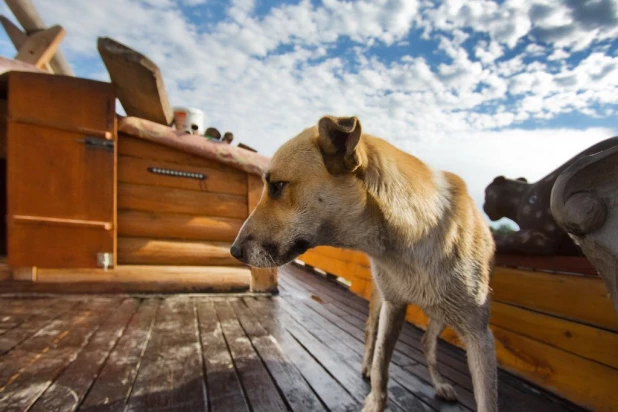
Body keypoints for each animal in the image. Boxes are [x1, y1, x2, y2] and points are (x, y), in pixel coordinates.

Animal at [230, 115, 496, 412]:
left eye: (277, 186)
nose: (233, 251)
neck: (410, 238)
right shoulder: (393, 306)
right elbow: (381, 364)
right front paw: (375, 399)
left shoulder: (479, 334)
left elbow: (487, 398)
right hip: (383, 298)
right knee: (372, 334)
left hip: (442, 313)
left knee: (427, 342)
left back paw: (438, 383)